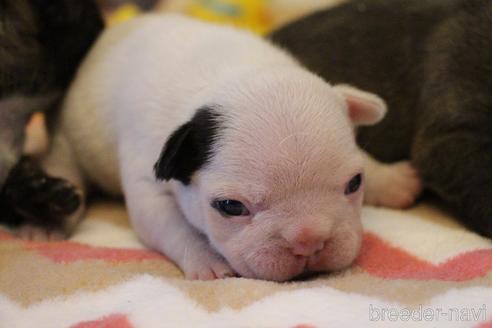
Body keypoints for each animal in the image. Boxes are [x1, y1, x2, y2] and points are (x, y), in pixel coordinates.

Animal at [40, 14, 420, 282]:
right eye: (231, 207)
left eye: (354, 184)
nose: (309, 240)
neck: (234, 75)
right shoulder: (148, 183)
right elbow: (172, 226)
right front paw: (207, 261)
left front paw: (392, 181)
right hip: (68, 143)